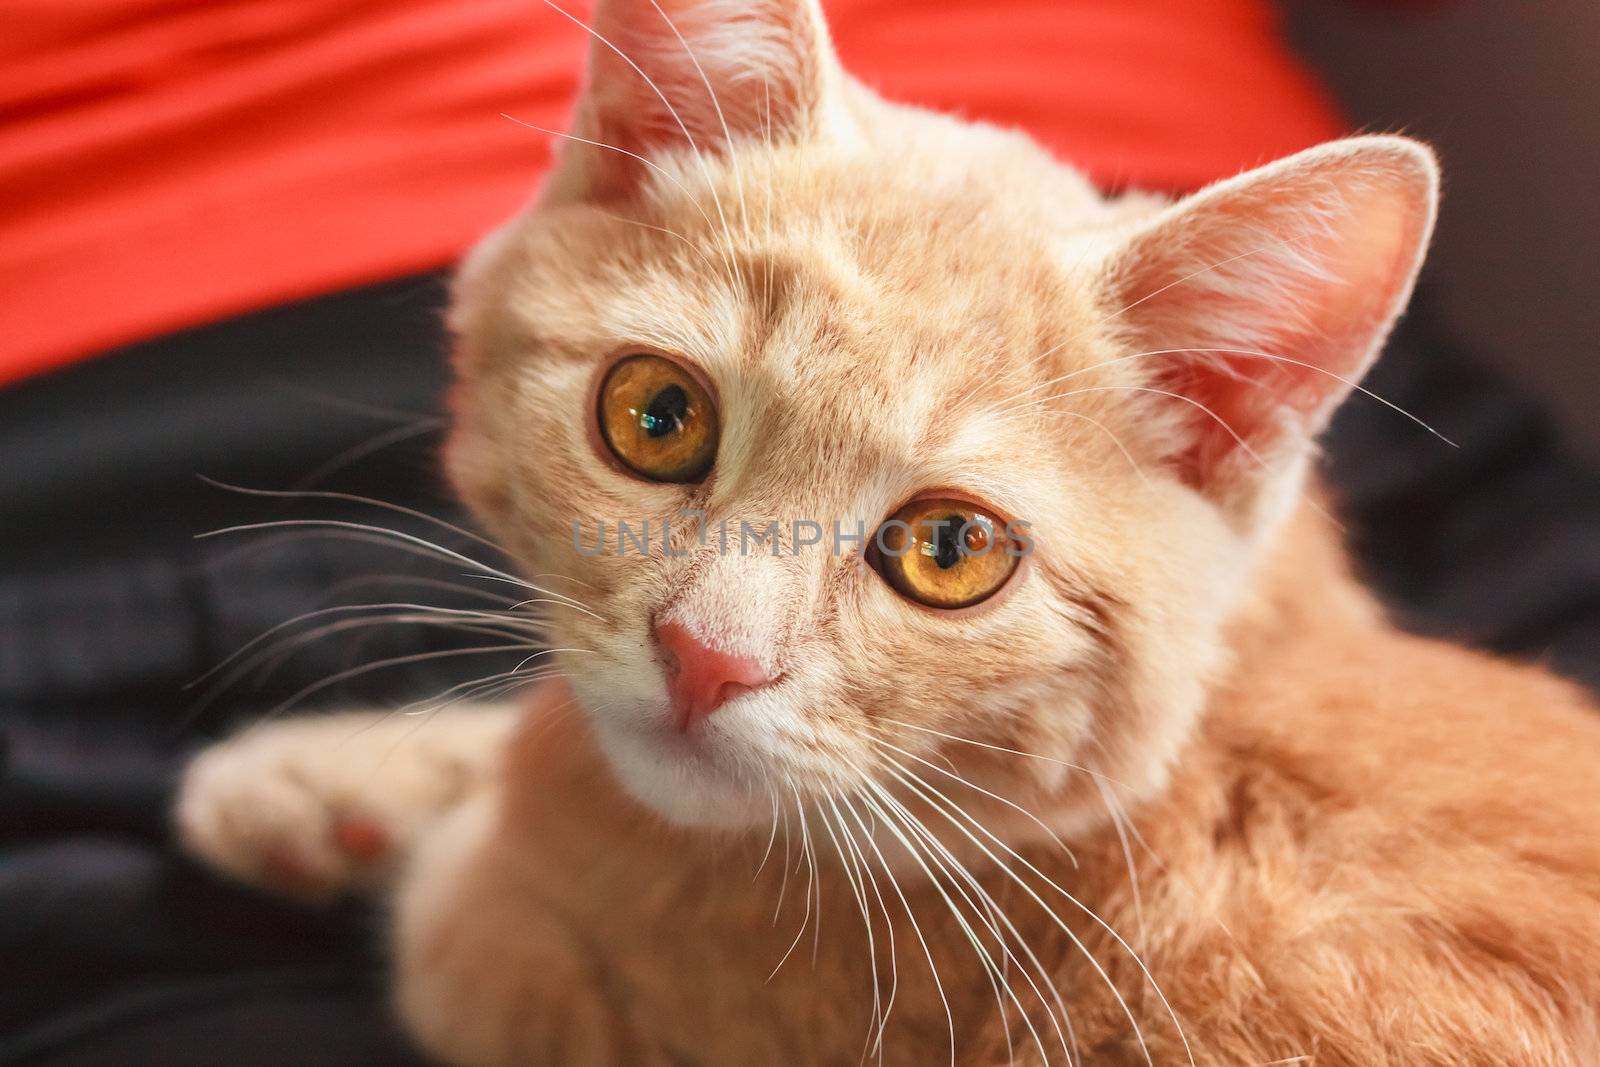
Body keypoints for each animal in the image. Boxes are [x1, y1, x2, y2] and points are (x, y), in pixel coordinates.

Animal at [175, 4, 1600, 1062]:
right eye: (656, 416)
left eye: (950, 551)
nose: (707, 658)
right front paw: (324, 781)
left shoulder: (535, 972)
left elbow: (466, 890)